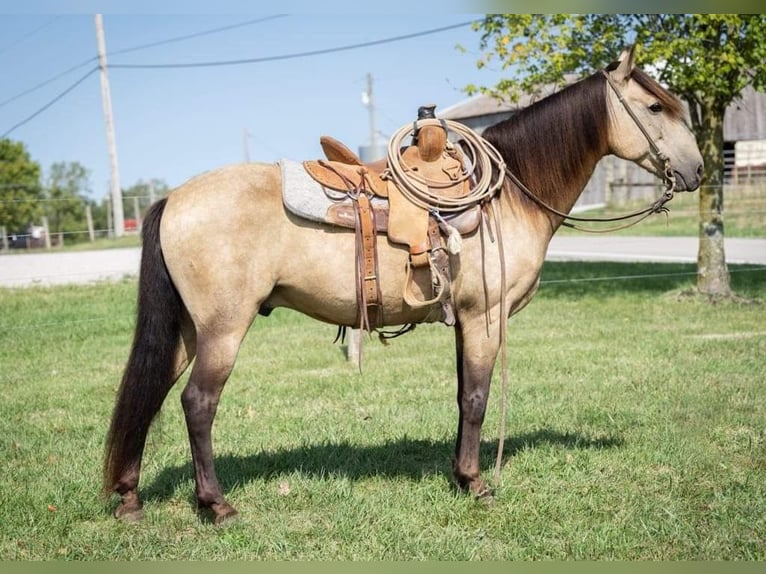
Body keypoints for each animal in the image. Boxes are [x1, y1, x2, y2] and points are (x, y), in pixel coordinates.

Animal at [103, 46, 703, 524]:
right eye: (655, 107)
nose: (697, 171)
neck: (510, 195)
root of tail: (174, 198)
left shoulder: (465, 320)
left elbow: (462, 395)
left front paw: (459, 475)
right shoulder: (486, 317)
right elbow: (479, 397)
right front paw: (477, 484)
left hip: (188, 330)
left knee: (150, 395)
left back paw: (130, 497)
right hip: (224, 328)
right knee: (198, 403)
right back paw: (216, 505)